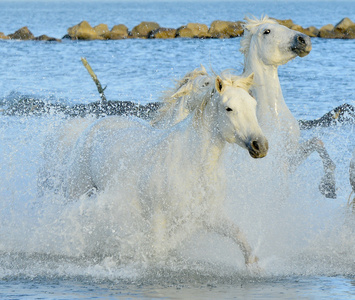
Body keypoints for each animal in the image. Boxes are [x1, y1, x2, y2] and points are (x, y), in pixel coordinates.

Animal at [64, 73, 270, 268]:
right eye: (229, 108)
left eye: (253, 104)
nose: (260, 145)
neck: (191, 163)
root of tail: (93, 126)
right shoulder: (158, 219)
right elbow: (157, 250)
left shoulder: (208, 215)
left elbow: (239, 235)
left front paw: (254, 266)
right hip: (78, 192)